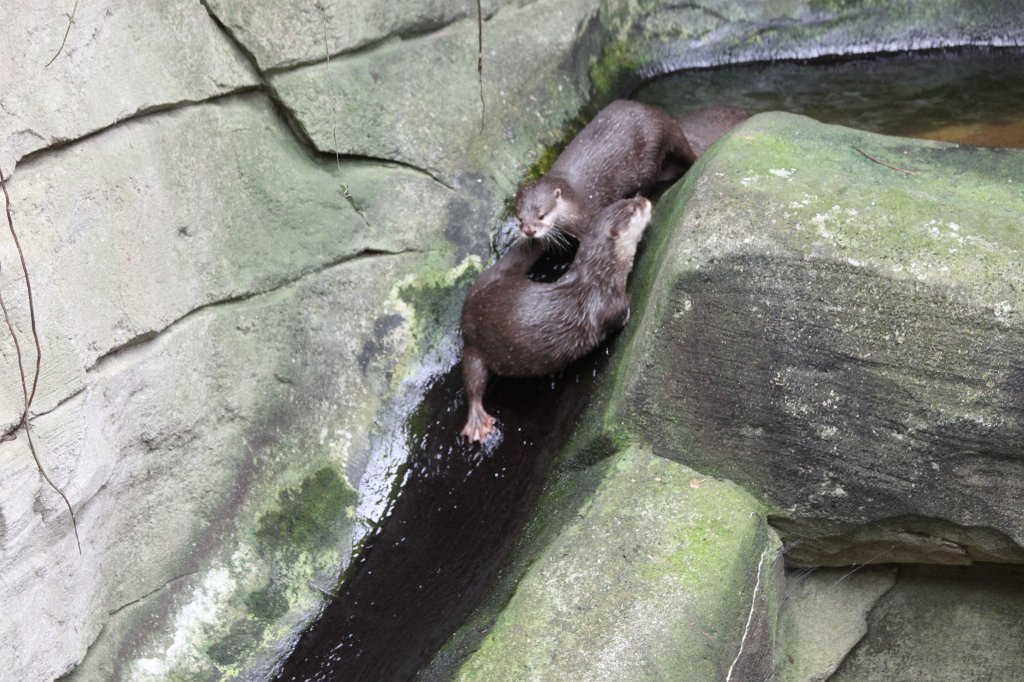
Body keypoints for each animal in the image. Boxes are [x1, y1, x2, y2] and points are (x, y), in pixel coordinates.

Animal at [460, 196, 652, 442]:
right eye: (632, 208)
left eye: (630, 199)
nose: (644, 200)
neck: (601, 276)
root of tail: (475, 296)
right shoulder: (606, 304)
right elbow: (618, 316)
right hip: (473, 344)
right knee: (473, 382)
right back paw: (477, 421)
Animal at [514, 100, 691, 242]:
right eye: (520, 219)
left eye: (541, 215)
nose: (529, 231)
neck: (575, 202)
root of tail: (658, 118)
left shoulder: (590, 215)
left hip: (648, 153)